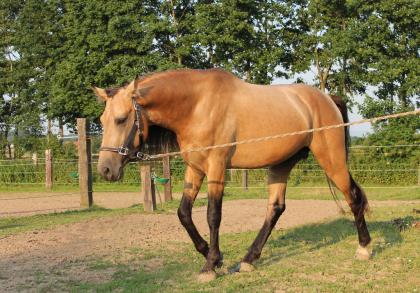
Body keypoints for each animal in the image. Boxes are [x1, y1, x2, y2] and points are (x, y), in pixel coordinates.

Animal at [94, 68, 370, 280]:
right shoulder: (195, 169)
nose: (106, 169)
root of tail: (327, 99)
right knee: (275, 208)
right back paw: (249, 259)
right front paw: (210, 254)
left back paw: (364, 248)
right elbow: (183, 213)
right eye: (102, 120)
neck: (197, 105)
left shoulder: (216, 167)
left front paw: (210, 264)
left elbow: (213, 215)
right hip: (281, 164)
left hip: (332, 160)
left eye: (121, 119)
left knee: (353, 197)